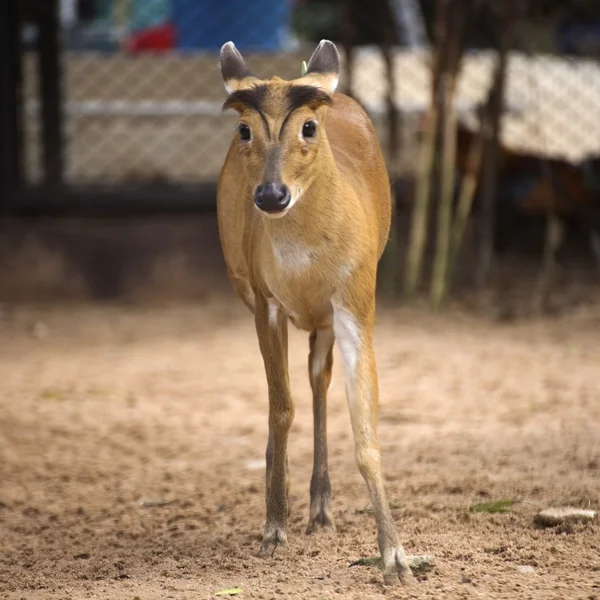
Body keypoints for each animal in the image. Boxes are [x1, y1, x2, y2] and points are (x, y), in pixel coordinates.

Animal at [217, 38, 418, 584]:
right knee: (293, 392)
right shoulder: (264, 300)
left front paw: (395, 558)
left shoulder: (356, 298)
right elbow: (280, 408)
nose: (270, 194)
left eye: (308, 126)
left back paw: (322, 507)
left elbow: (366, 430)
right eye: (244, 129)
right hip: (249, 289)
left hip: (327, 317)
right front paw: (273, 528)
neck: (303, 262)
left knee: (319, 378)